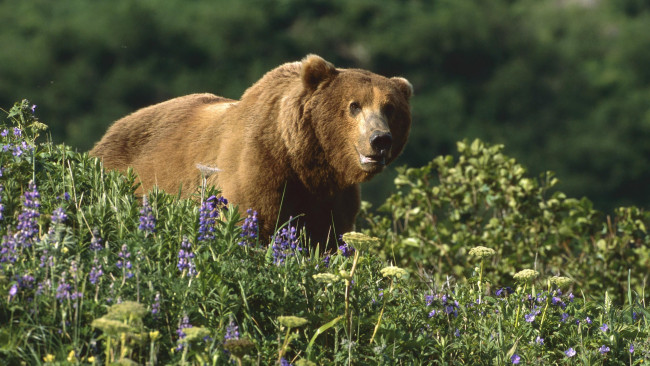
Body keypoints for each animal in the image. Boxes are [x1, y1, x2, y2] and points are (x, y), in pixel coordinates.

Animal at [90, 54, 410, 247]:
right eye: (354, 105)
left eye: (390, 108)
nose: (380, 139)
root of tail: (109, 131)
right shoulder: (259, 166)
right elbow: (251, 222)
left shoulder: (332, 195)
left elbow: (329, 238)